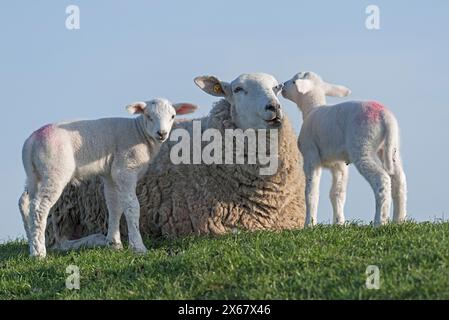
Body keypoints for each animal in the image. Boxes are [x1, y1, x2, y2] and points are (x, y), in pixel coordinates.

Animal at [18, 97, 196, 258]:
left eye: (172, 116)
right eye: (148, 116)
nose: (162, 133)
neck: (139, 133)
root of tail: (31, 141)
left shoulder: (110, 174)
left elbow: (114, 206)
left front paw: (114, 243)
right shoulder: (125, 169)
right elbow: (132, 206)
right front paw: (138, 247)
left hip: (34, 174)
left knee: (26, 203)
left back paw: (32, 244)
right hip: (55, 170)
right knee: (39, 207)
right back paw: (39, 253)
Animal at [43, 72, 306, 248]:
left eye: (276, 87)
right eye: (239, 89)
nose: (273, 107)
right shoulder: (209, 223)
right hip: (62, 209)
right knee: (59, 242)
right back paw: (96, 239)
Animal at [284, 72, 406, 228]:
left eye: (293, 81)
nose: (281, 86)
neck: (311, 109)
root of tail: (385, 116)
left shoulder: (311, 155)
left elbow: (311, 192)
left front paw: (309, 224)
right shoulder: (339, 164)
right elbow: (337, 193)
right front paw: (339, 222)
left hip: (362, 146)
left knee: (382, 179)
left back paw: (379, 221)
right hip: (390, 147)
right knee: (399, 180)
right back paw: (399, 219)